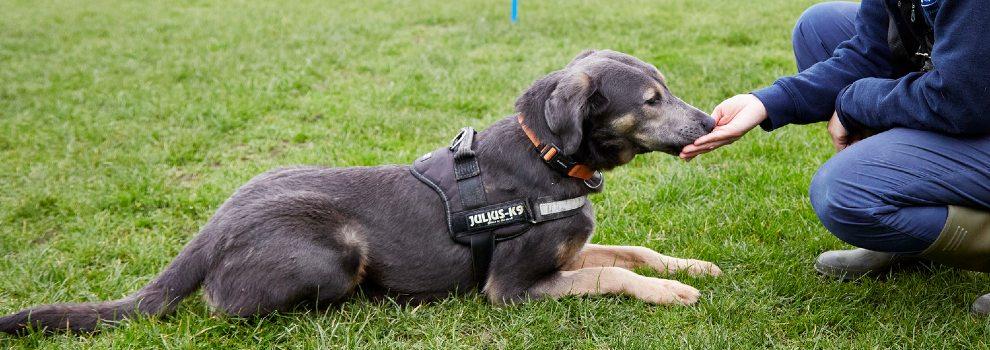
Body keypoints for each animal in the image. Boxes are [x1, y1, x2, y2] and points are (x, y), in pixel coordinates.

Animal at [0, 47, 720, 334]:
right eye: (652, 100)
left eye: (666, 89)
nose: (713, 122)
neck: (549, 156)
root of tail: (212, 228)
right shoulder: (511, 288)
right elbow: (613, 274)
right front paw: (674, 293)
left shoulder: (567, 252)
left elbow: (630, 252)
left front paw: (691, 266)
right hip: (336, 251)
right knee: (225, 306)